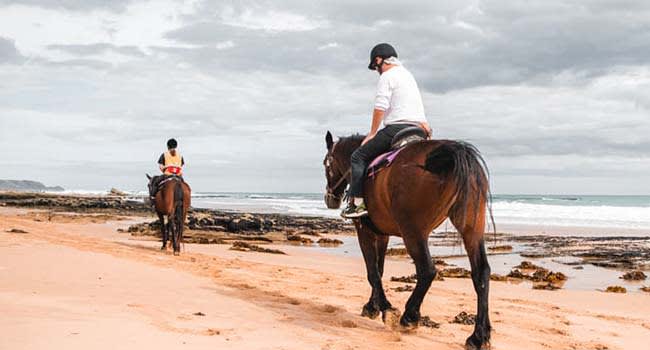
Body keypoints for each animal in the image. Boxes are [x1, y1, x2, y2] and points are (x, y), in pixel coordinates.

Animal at [324, 132, 492, 350]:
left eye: (326, 165)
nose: (330, 199)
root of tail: (453, 152)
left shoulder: (364, 230)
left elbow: (372, 272)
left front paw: (385, 309)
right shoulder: (382, 234)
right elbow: (379, 269)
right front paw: (373, 306)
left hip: (413, 232)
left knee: (427, 270)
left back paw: (409, 317)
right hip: (471, 229)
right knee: (481, 273)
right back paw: (479, 336)